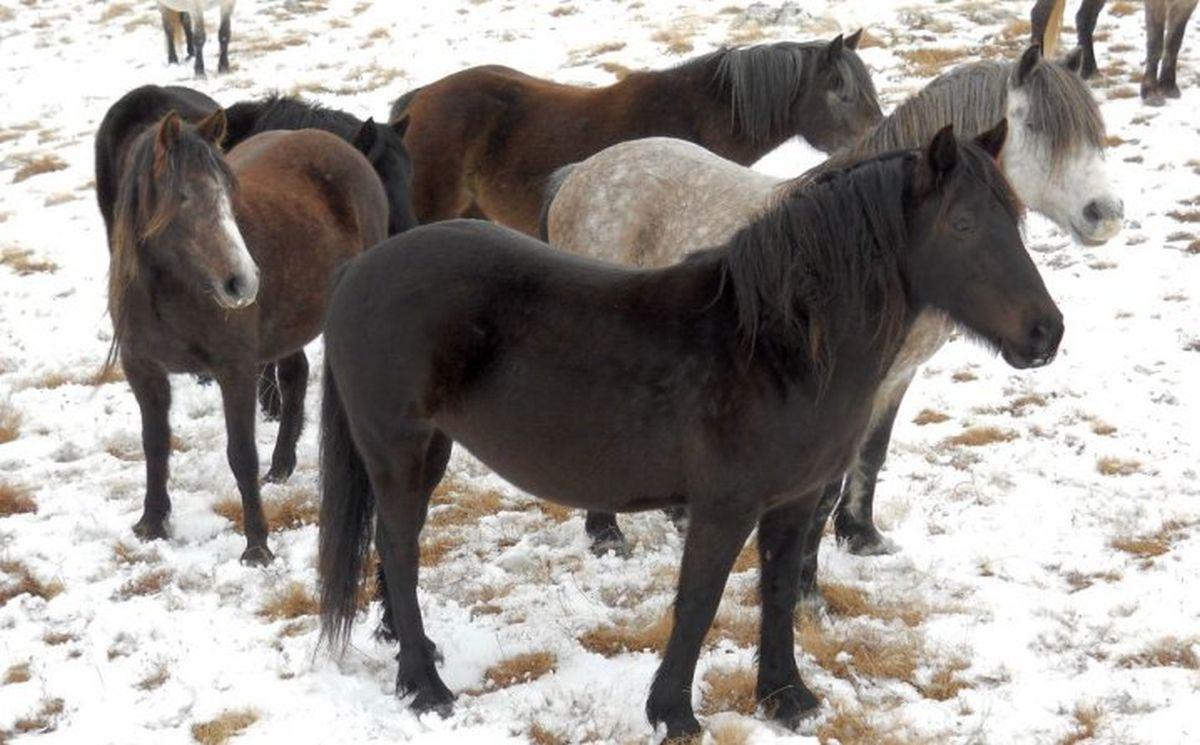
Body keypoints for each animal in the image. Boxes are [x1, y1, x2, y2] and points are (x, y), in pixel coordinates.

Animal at [103, 109, 386, 563]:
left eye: (227, 198)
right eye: (182, 196)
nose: (243, 282)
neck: (173, 289)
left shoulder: (235, 370)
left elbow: (241, 454)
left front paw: (257, 545)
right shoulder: (142, 370)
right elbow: (155, 444)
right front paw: (152, 522)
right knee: (295, 376)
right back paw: (282, 465)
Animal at [316, 124, 1060, 734]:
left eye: (1016, 219)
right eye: (962, 224)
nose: (1046, 332)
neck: (780, 345)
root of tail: (359, 272)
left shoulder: (792, 503)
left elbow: (778, 593)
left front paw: (787, 699)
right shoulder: (724, 505)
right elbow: (699, 600)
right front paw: (673, 712)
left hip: (428, 449)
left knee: (395, 545)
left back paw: (412, 650)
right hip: (397, 448)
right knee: (400, 545)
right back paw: (425, 686)